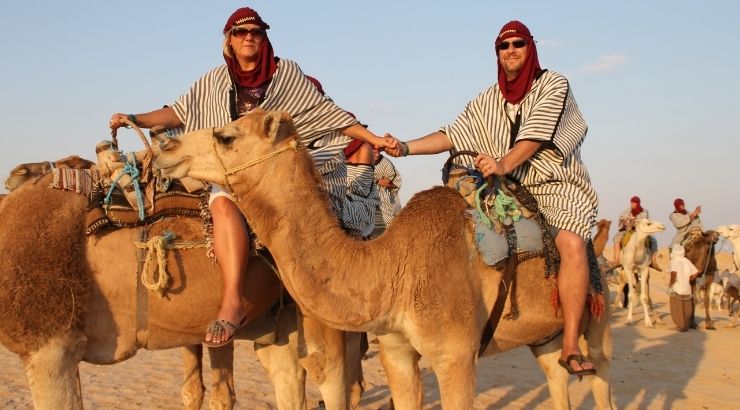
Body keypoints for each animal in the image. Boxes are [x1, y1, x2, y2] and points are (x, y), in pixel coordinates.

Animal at [153, 109, 616, 410]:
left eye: (226, 136)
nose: (165, 148)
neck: (394, 266)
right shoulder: (396, 350)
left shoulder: (456, 355)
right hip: (543, 335)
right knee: (556, 375)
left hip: (597, 320)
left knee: (599, 377)